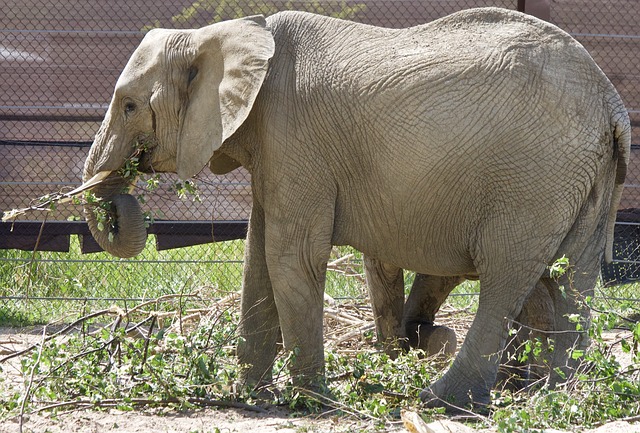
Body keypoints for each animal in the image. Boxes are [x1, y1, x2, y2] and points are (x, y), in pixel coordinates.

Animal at [80, 8, 632, 410]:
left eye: (129, 106)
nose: (120, 199)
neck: (231, 33)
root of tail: (611, 101)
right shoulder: (273, 147)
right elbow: (258, 258)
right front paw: (249, 397)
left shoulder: (294, 137)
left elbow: (290, 256)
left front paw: (311, 401)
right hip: (582, 177)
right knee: (569, 279)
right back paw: (552, 395)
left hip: (534, 178)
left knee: (507, 275)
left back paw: (442, 401)